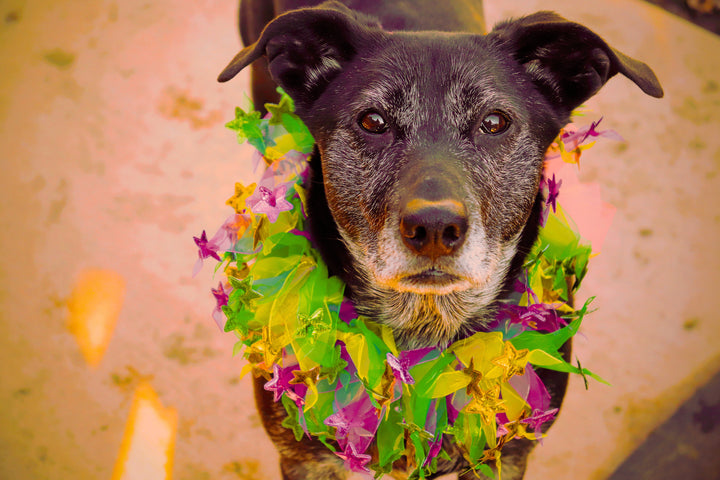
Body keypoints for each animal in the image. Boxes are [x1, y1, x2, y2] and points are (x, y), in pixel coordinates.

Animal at [215, 1, 664, 478]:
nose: (433, 228)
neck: (426, 330)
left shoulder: (505, 459)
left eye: (494, 122)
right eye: (372, 121)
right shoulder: (303, 459)